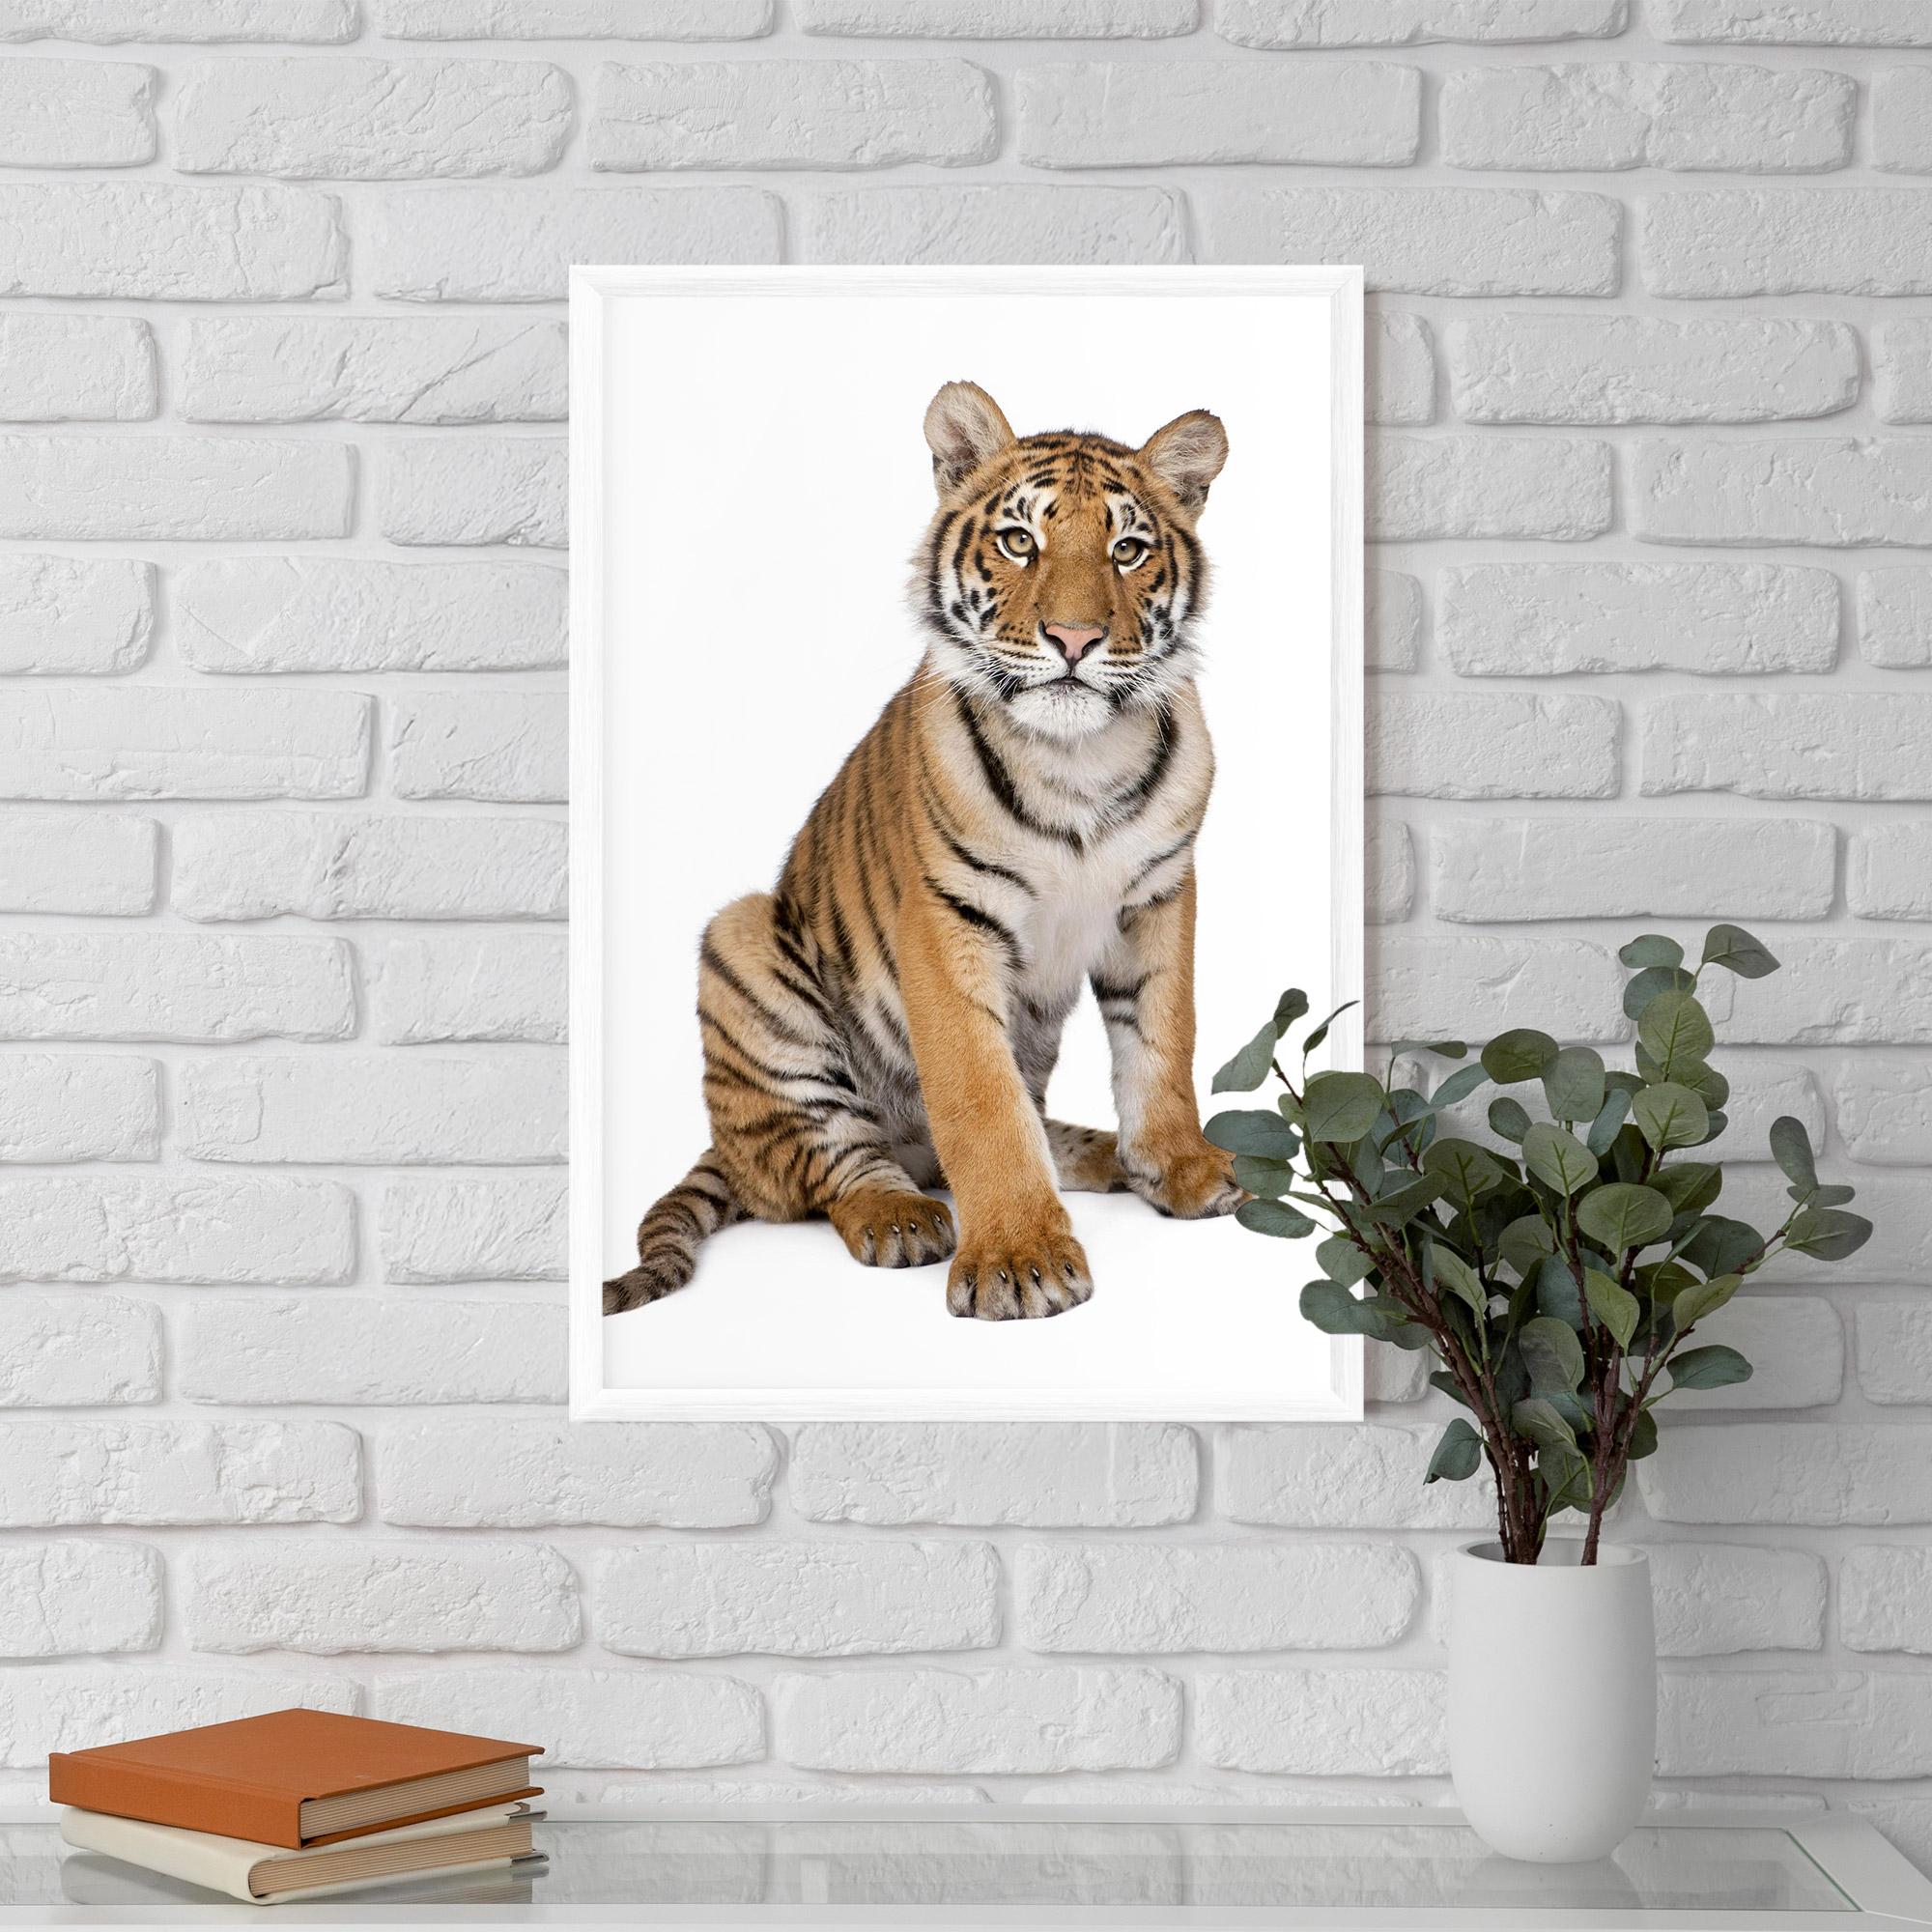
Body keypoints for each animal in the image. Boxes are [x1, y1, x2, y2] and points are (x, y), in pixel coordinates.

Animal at [604, 379, 1242, 1323]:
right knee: (830, 1166)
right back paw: (901, 1218)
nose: (1075, 640)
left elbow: (1164, 1043)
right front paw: (1020, 1259)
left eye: (1127, 551)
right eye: (1020, 541)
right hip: (743, 941)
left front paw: (1181, 1169)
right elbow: (980, 1100)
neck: (1078, 759)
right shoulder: (946, 922)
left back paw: (1098, 1155)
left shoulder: (1158, 897)